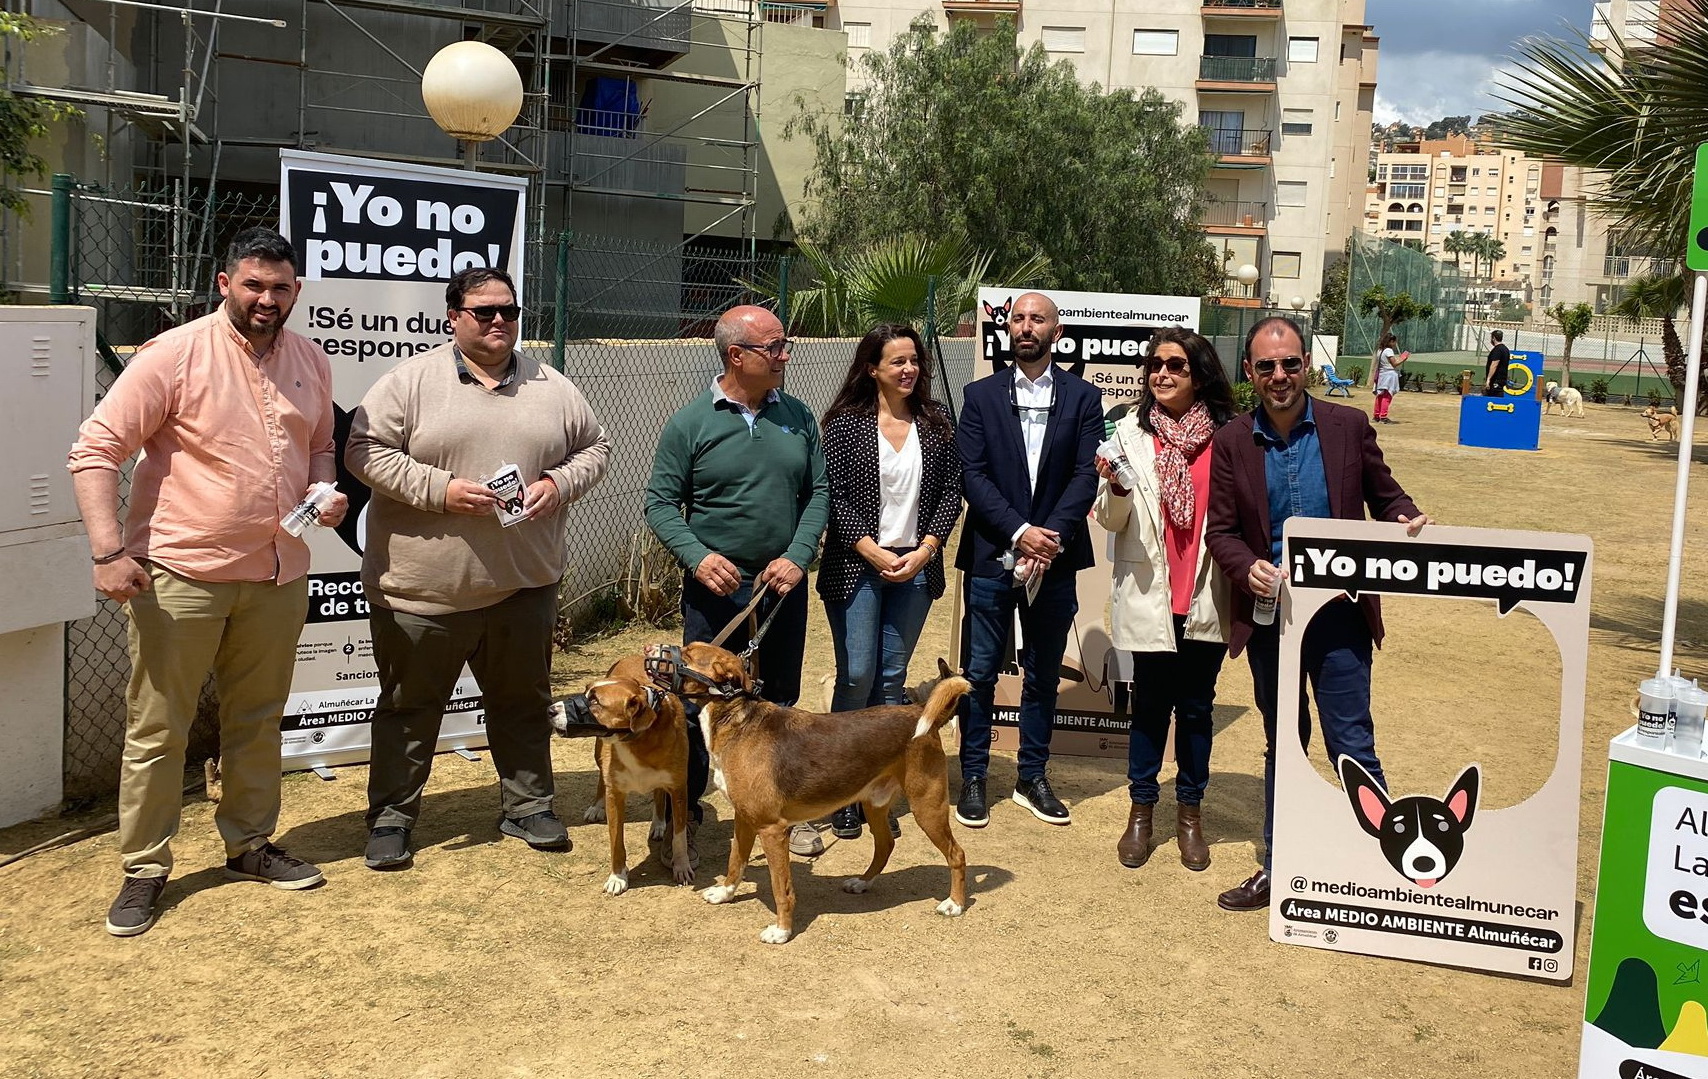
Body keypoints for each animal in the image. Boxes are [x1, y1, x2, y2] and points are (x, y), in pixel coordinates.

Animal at [642, 641, 976, 942]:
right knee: (885, 845)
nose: (647, 649)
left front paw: (782, 930)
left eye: (687, 654)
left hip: (927, 807)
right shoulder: (744, 819)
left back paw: (955, 904)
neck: (738, 719)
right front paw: (725, 893)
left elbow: (781, 887)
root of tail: (919, 711)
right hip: (875, 804)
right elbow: (735, 861)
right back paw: (863, 883)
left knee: (957, 853)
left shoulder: (772, 830)